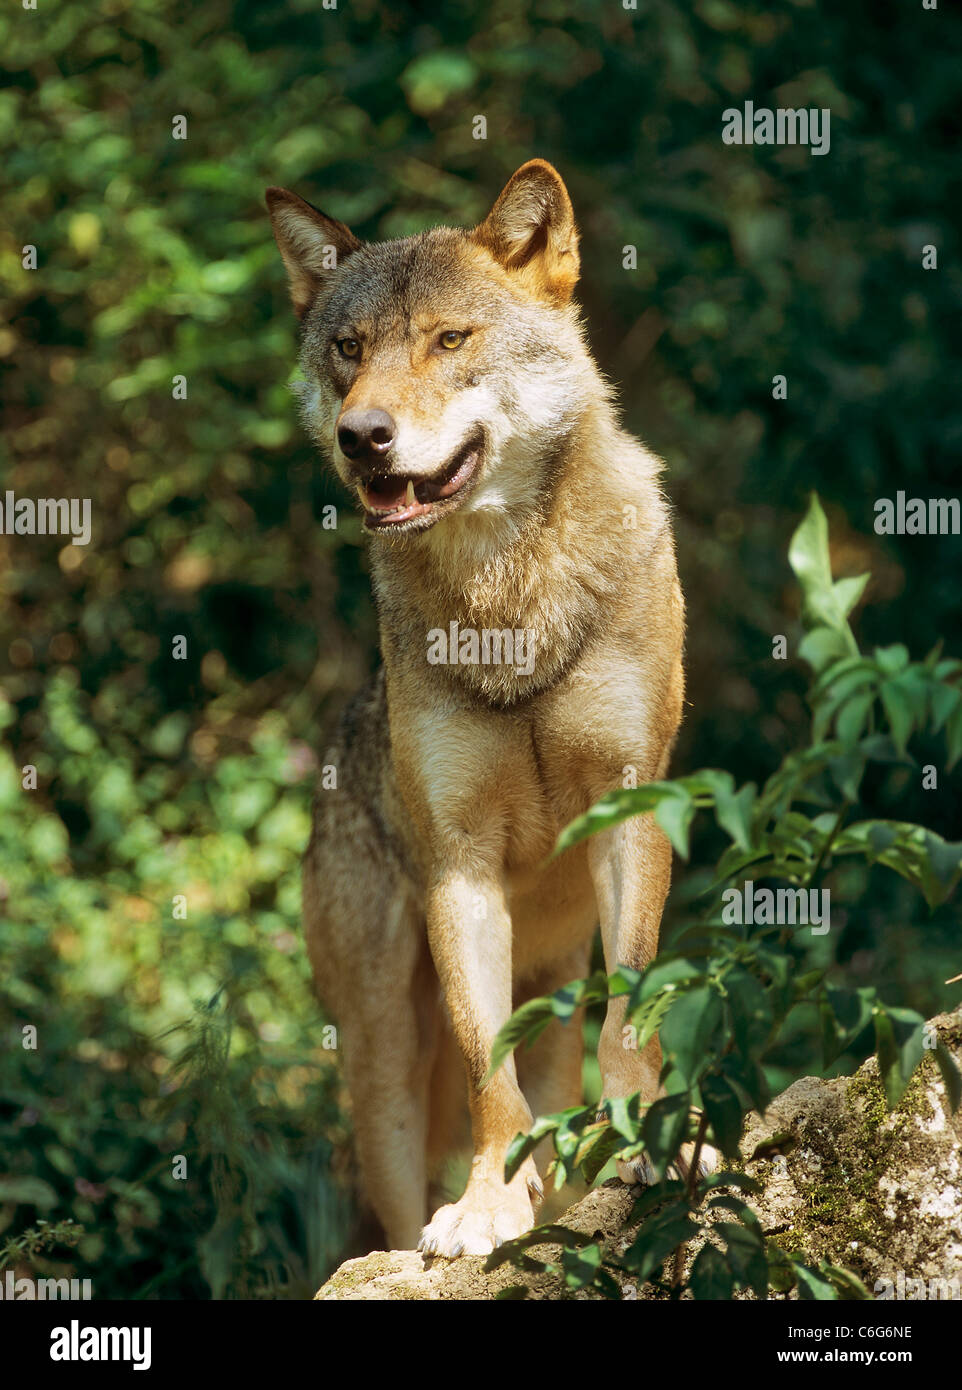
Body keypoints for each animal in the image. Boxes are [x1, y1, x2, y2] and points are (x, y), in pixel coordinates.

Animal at [265, 162, 711, 1262]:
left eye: (448, 339)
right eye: (350, 349)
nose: (364, 438)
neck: (508, 604)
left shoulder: (629, 814)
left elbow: (630, 1018)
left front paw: (644, 1146)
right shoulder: (457, 867)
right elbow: (485, 1068)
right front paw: (484, 1207)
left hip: (551, 988)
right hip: (382, 1056)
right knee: (392, 1192)